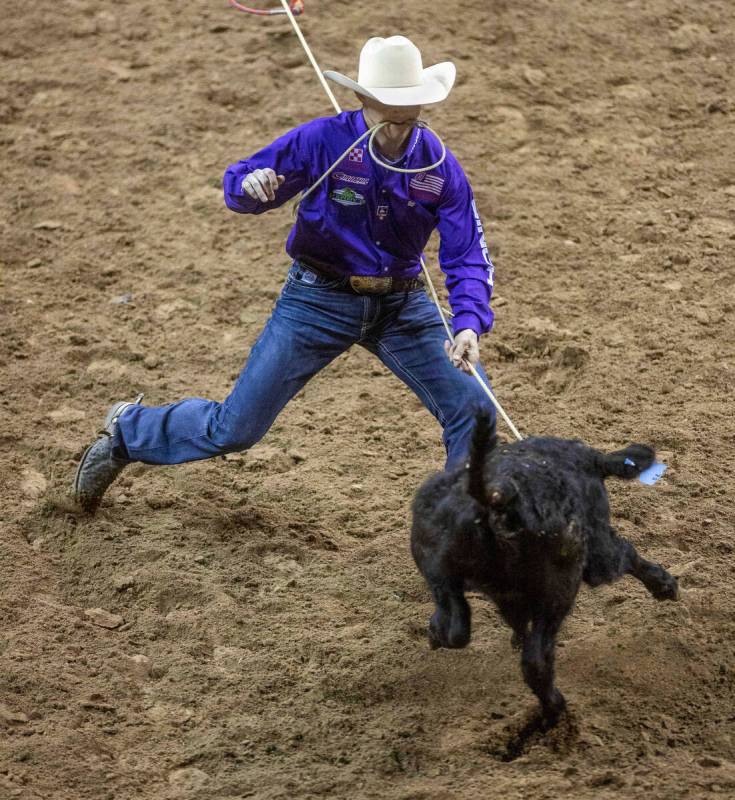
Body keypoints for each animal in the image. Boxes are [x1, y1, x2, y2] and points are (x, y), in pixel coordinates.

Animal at [408, 410, 680, 728]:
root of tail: (494, 498)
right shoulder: (597, 552)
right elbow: (629, 555)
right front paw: (665, 585)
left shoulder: (504, 596)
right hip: (562, 586)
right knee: (536, 661)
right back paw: (554, 710)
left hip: (440, 575)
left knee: (455, 628)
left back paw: (437, 634)